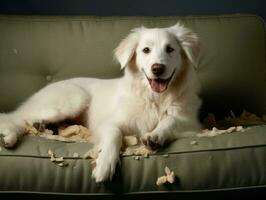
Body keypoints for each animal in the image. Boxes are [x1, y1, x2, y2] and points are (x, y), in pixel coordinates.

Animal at [0, 22, 201, 182]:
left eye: (170, 49)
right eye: (146, 50)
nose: (157, 68)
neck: (154, 98)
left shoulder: (189, 121)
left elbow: (170, 120)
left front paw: (155, 135)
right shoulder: (109, 123)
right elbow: (114, 134)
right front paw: (105, 164)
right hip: (74, 99)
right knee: (16, 118)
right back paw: (10, 136)